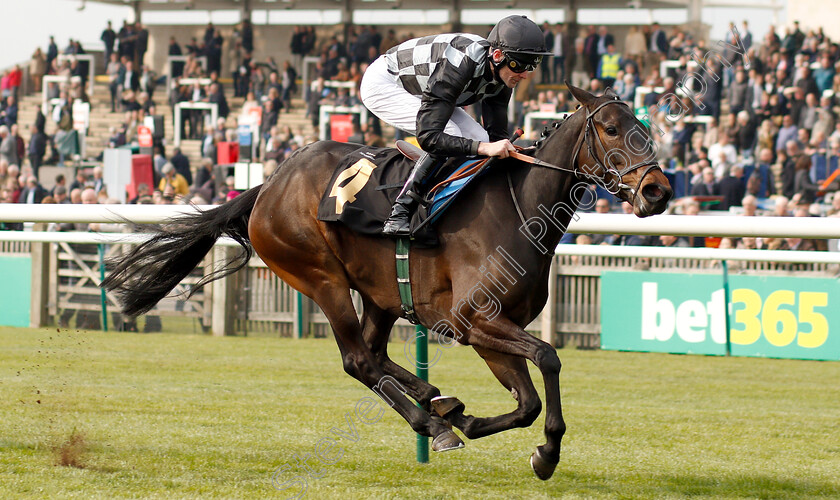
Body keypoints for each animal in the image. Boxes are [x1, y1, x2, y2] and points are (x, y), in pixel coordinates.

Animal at [101, 86, 672, 480]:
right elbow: (549, 359)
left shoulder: (491, 329)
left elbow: (528, 401)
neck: (519, 211)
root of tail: (266, 185)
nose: (659, 191)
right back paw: (434, 424)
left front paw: (481, 425)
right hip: (321, 277)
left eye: (646, 127)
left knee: (375, 355)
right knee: (357, 360)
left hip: (382, 294)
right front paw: (545, 454)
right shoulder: (474, 320)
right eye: (613, 129)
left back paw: (438, 402)